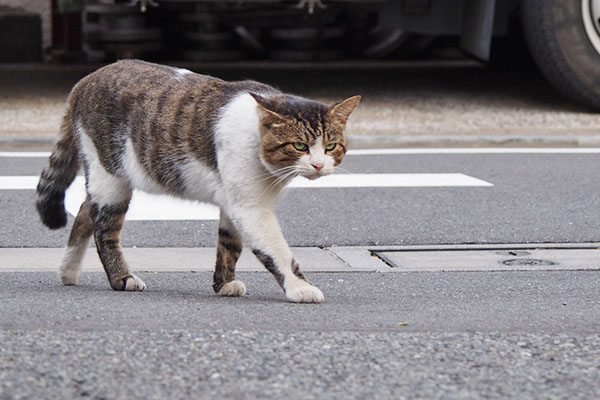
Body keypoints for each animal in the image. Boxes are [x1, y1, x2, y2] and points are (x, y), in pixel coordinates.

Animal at [37, 58, 360, 304]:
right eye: (300, 146)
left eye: (331, 146)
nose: (318, 164)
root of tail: (86, 79)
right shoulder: (251, 208)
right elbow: (277, 250)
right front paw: (299, 287)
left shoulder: (234, 202)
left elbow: (230, 244)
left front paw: (223, 284)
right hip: (109, 175)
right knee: (104, 229)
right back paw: (121, 278)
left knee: (83, 212)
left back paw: (68, 271)